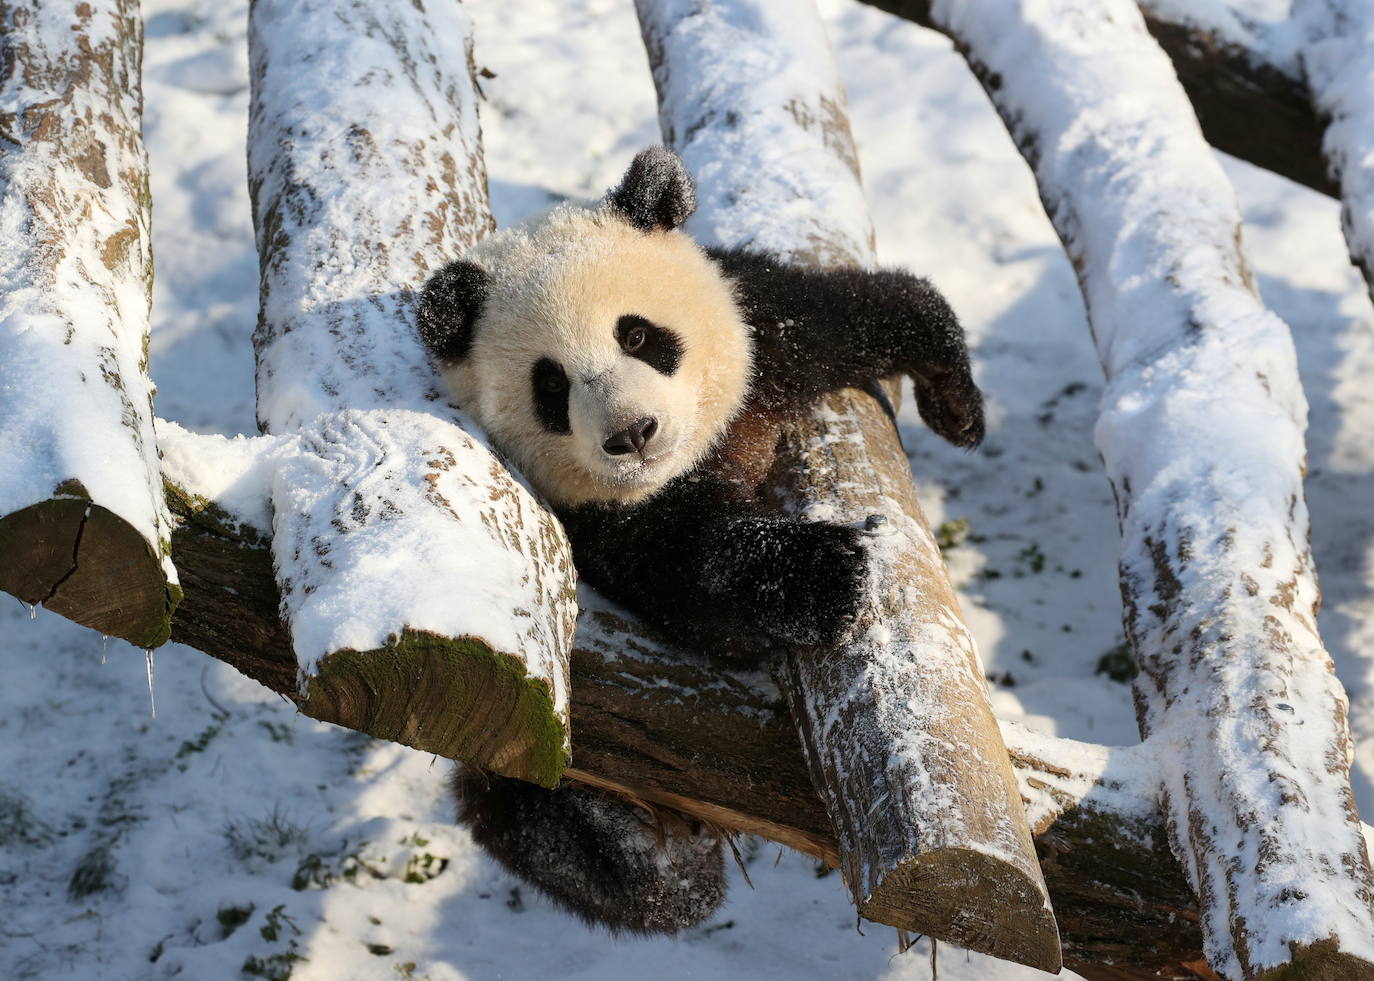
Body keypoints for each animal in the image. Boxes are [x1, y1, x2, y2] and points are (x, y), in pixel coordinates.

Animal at [412, 147, 983, 934]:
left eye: (637, 335)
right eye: (550, 384)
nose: (632, 434)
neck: (697, 453)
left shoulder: (762, 333)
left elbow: (857, 310)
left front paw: (957, 400)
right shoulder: (605, 522)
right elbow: (695, 574)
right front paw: (821, 575)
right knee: (546, 822)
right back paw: (625, 842)